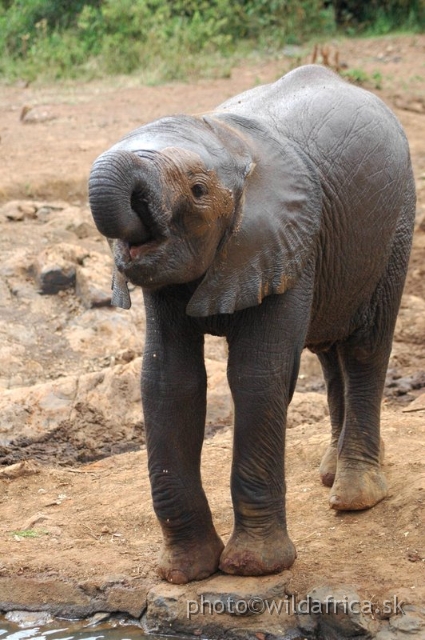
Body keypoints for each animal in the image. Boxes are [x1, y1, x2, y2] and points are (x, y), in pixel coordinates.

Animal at [88, 65, 416, 584]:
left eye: (198, 190)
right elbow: (168, 381)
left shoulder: (290, 239)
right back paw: (331, 472)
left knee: (365, 347)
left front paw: (254, 568)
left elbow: (256, 376)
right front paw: (186, 573)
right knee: (329, 351)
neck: (228, 141)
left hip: (396, 221)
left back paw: (355, 496)